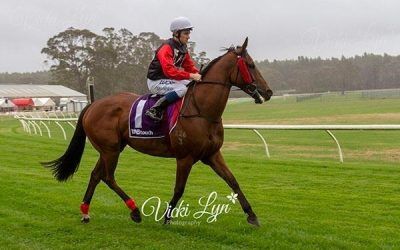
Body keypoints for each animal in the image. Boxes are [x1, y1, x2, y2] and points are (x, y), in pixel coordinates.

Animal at [43, 37, 272, 227]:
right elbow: (179, 189)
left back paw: (85, 212)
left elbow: (232, 180)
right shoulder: (185, 157)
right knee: (107, 177)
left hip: (111, 148)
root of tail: (92, 105)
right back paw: (135, 211)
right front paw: (166, 218)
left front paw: (252, 215)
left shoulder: (212, 154)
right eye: (251, 65)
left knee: (96, 175)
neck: (202, 111)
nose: (268, 92)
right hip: (110, 150)